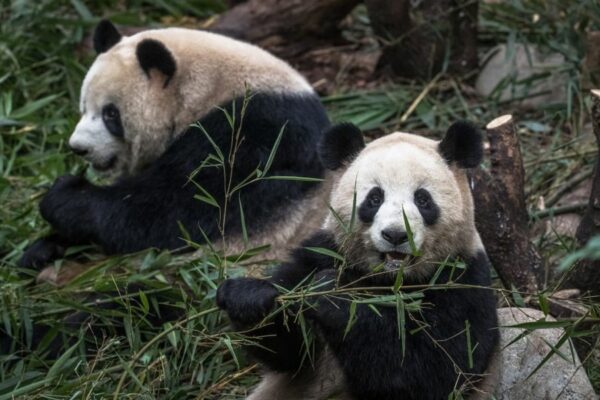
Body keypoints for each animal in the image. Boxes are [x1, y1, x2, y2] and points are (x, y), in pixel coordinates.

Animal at [18, 19, 330, 268]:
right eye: (84, 107)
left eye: (110, 114)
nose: (79, 148)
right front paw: (43, 247)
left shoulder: (256, 133)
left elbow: (174, 212)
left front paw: (64, 194)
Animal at [218, 122, 500, 400]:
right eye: (374, 198)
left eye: (423, 199)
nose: (395, 235)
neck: (390, 279)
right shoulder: (323, 252)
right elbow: (290, 354)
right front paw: (249, 297)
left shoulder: (461, 280)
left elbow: (435, 372)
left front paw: (333, 294)